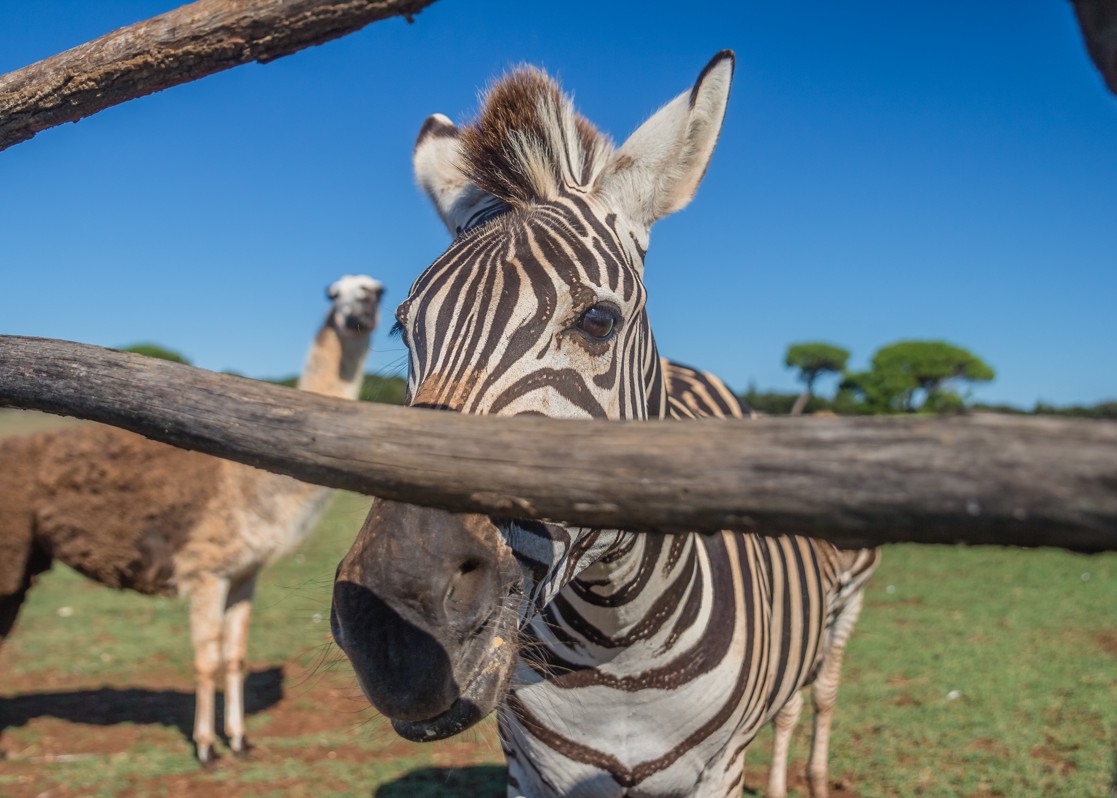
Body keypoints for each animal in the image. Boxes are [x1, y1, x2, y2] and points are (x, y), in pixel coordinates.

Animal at [331, 51, 874, 797]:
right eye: (404, 329)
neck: (618, 651)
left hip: (843, 609)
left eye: (597, 321)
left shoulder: (720, 771)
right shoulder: (529, 772)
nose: (393, 631)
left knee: (813, 697)